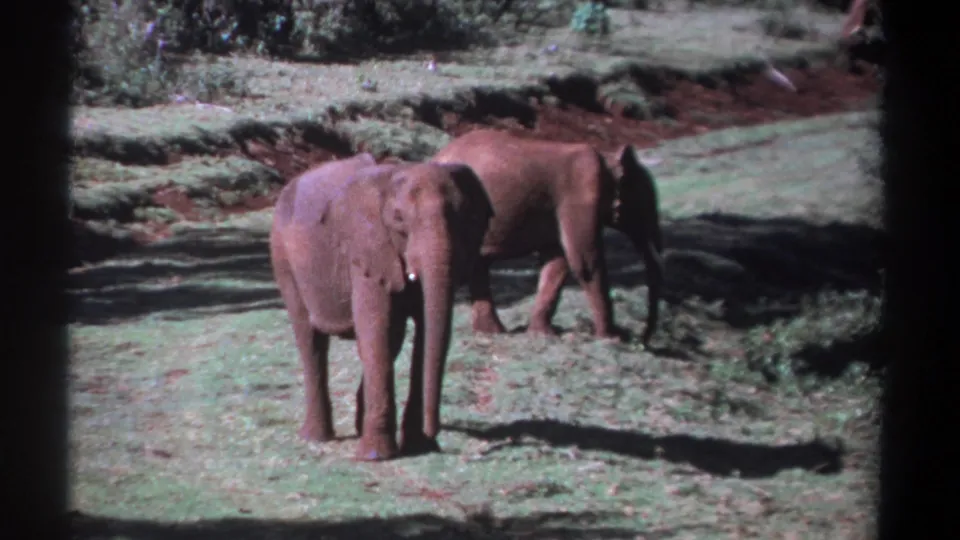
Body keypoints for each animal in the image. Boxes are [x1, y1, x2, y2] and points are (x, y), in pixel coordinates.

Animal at [269, 154, 494, 461]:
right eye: (398, 219)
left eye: (463, 217)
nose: (434, 434)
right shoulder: (367, 250)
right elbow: (378, 330)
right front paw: (376, 457)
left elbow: (415, 333)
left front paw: (418, 446)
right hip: (283, 257)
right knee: (310, 340)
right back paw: (316, 438)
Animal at [431, 129, 664, 345]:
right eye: (646, 205)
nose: (642, 339)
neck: (608, 159)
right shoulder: (580, 196)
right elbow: (585, 262)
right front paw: (612, 337)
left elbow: (557, 262)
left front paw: (543, 334)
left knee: (479, 266)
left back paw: (492, 332)